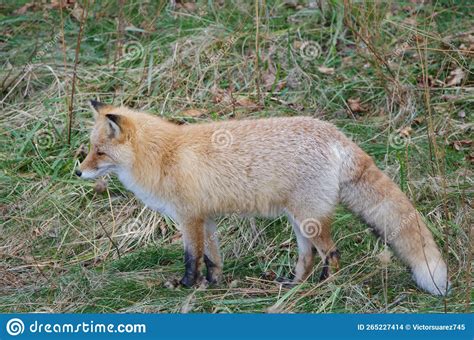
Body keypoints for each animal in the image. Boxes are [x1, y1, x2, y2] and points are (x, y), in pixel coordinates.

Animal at [76, 100, 450, 294]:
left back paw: (323, 287)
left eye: (99, 152)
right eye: (90, 150)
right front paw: (213, 285)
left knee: (332, 253)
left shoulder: (189, 218)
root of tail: (335, 133)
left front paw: (185, 285)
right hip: (299, 221)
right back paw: (294, 285)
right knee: (307, 257)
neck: (163, 156)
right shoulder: (207, 220)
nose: (78, 172)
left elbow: (191, 257)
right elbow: (212, 258)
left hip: (309, 220)